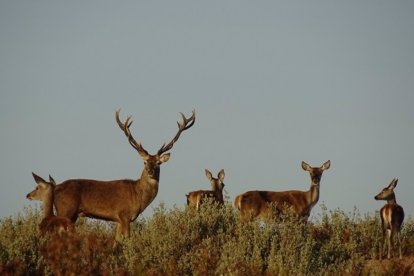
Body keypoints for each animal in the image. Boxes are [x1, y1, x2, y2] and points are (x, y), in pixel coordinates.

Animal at [32, 110, 194, 242]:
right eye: (145, 162)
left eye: (158, 163)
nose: (150, 171)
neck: (138, 196)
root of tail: (56, 187)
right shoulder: (124, 215)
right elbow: (127, 239)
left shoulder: (117, 219)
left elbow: (117, 241)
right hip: (66, 210)